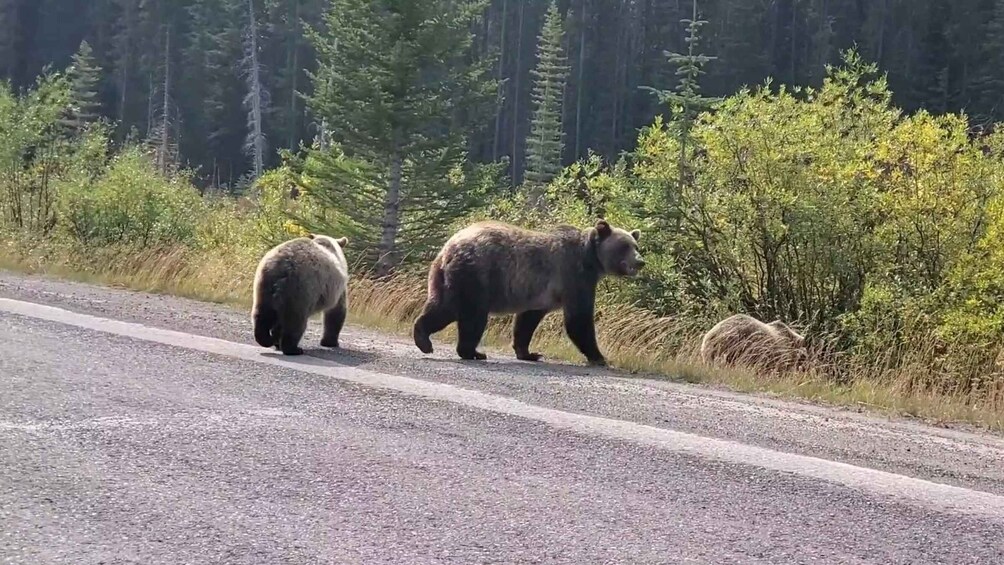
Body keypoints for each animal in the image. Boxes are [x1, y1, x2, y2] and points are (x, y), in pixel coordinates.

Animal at [411, 216, 646, 367]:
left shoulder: (540, 293)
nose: (640, 261)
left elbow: (527, 320)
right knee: (471, 316)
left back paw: (423, 338)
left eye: (636, 245)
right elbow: (578, 319)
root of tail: (448, 248)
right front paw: (600, 357)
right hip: (476, 276)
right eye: (625, 246)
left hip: (446, 278)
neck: (591, 259)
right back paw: (472, 352)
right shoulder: (574, 277)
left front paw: (529, 352)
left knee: (442, 307)